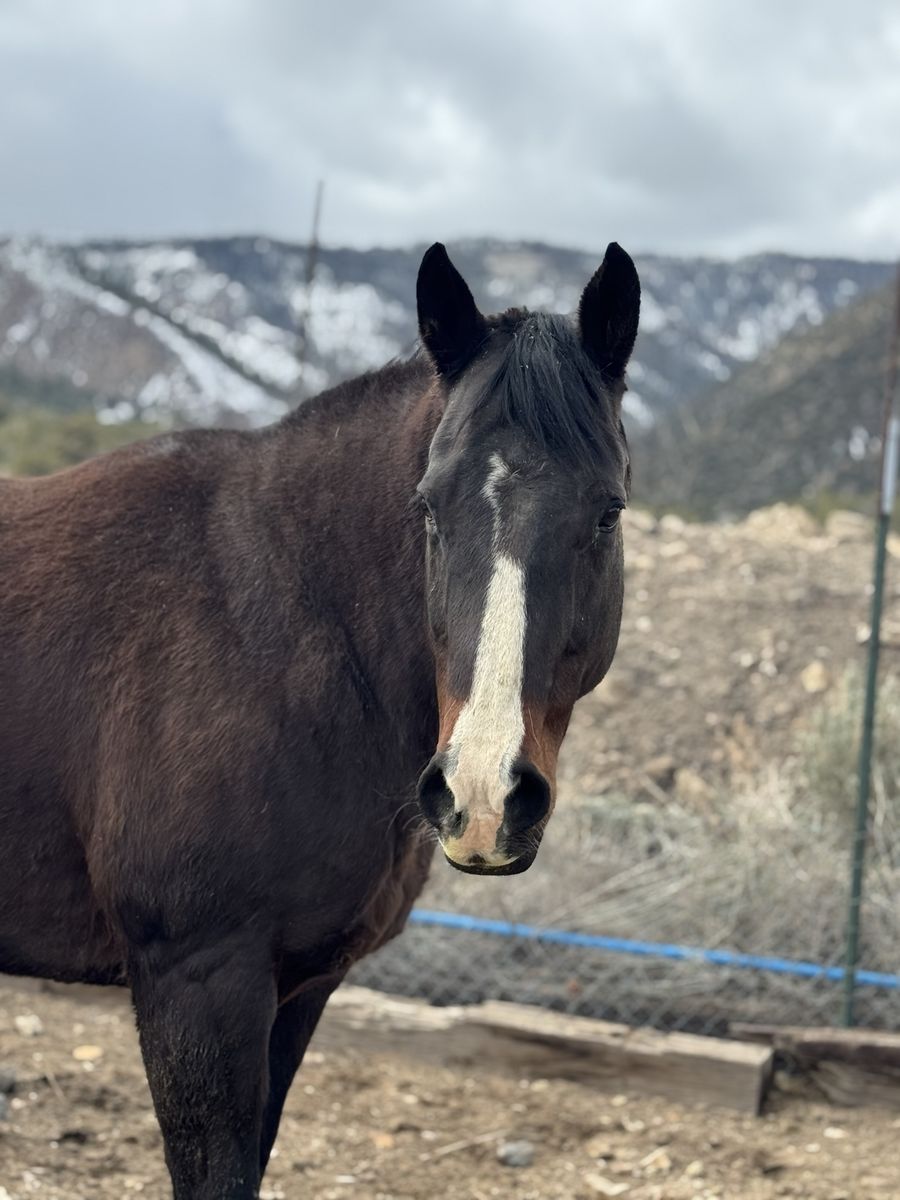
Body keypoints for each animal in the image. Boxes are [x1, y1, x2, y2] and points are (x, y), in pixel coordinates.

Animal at [0, 240, 640, 1198]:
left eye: (608, 511)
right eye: (427, 507)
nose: (484, 796)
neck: (277, 623)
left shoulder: (299, 990)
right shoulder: (198, 986)